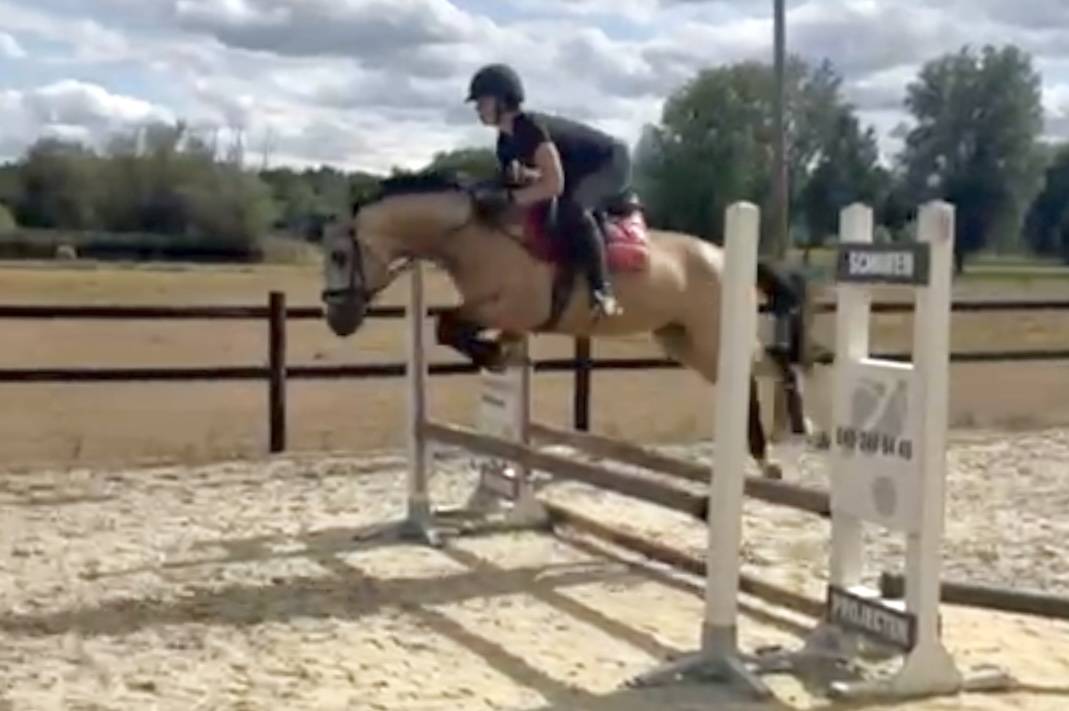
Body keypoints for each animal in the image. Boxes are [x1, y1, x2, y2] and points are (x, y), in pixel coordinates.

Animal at [319, 170, 822, 480]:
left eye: (341, 255)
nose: (337, 320)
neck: (473, 232)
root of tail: (723, 255)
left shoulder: (510, 306)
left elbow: (448, 325)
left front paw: (495, 353)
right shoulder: (496, 310)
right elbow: (452, 328)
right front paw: (499, 353)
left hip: (712, 336)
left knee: (773, 364)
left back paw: (795, 435)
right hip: (686, 343)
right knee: (756, 372)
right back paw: (774, 450)